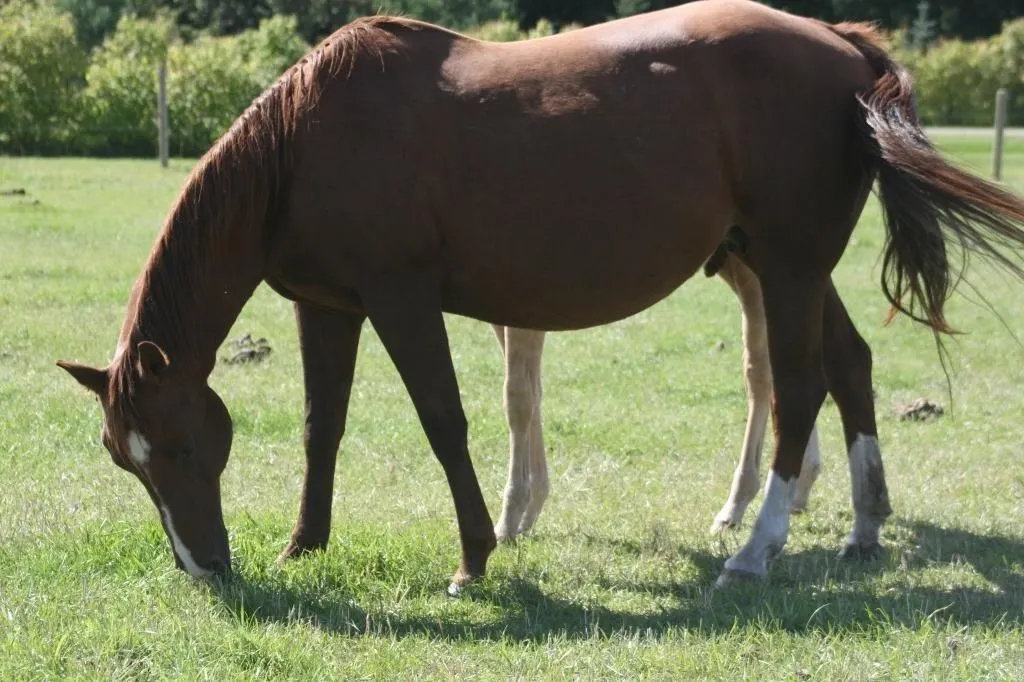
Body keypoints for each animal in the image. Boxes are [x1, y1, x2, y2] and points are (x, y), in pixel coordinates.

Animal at [57, 0, 1024, 595]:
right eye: (123, 459)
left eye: (181, 446)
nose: (203, 569)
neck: (306, 143)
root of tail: (839, 41)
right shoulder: (327, 305)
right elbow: (319, 426)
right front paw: (305, 544)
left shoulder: (402, 299)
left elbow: (445, 421)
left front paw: (473, 560)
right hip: (791, 268)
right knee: (848, 368)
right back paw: (862, 525)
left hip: (786, 269)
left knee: (797, 389)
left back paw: (756, 549)